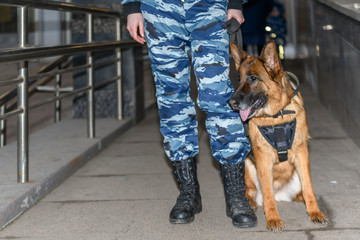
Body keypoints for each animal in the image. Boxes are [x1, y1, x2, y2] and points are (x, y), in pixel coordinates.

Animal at [229, 40, 328, 231]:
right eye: (239, 79)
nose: (231, 103)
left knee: (301, 190)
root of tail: (280, 193)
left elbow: (309, 188)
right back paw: (250, 203)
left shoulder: (302, 153)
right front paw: (273, 218)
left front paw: (314, 211)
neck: (276, 116)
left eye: (253, 78)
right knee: (255, 193)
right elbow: (268, 194)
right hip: (248, 166)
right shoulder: (263, 158)